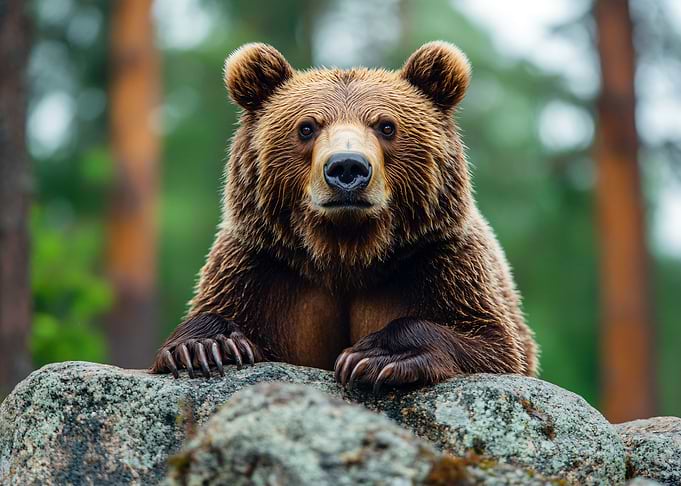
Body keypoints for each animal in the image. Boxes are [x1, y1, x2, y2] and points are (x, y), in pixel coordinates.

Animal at [151, 41, 538, 391]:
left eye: (386, 126)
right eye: (307, 127)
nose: (347, 167)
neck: (346, 253)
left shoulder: (440, 262)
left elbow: (494, 346)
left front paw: (375, 356)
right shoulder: (261, 265)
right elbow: (223, 308)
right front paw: (208, 347)